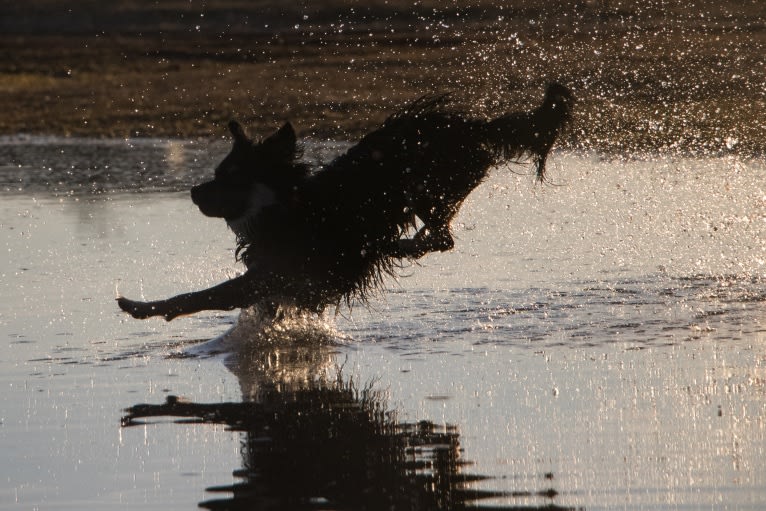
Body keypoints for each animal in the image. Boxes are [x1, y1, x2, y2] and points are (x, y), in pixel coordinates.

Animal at [117, 82, 572, 322]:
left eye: (229, 177)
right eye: (216, 173)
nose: (194, 192)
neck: (286, 206)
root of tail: (476, 125)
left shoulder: (278, 273)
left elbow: (201, 295)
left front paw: (142, 306)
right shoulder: (276, 278)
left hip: (426, 186)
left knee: (440, 238)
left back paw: (391, 246)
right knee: (439, 238)